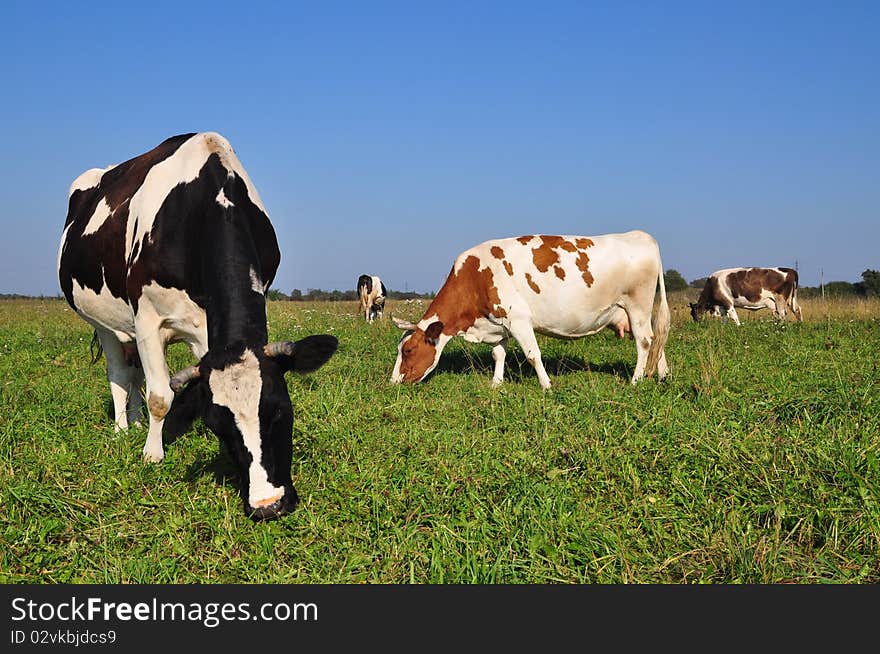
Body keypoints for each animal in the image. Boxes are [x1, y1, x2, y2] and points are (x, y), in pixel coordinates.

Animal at [55, 133, 336, 524]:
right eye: (220, 424)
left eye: (280, 410)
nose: (269, 505)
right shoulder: (146, 319)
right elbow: (160, 396)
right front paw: (152, 454)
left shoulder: (207, 329)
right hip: (104, 322)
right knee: (119, 375)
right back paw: (123, 429)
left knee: (134, 373)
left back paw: (137, 422)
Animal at [388, 231, 672, 390]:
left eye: (408, 350)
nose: (393, 383)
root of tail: (640, 234)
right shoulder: (499, 323)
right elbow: (498, 354)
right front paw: (496, 383)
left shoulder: (519, 320)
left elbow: (533, 355)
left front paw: (546, 386)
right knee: (656, 341)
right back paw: (661, 377)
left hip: (637, 306)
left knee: (645, 343)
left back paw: (636, 381)